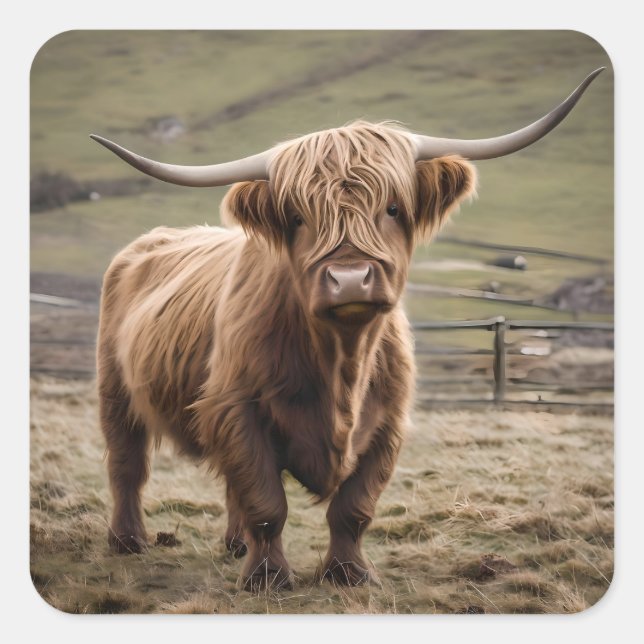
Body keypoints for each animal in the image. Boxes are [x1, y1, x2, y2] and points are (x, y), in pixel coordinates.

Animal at [92, 68, 603, 591]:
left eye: (394, 208)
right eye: (298, 217)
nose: (351, 278)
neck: (343, 362)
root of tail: (150, 241)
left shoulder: (387, 424)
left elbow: (353, 507)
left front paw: (348, 573)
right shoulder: (238, 410)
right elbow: (265, 502)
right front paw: (268, 578)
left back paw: (233, 545)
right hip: (115, 391)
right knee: (128, 464)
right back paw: (128, 541)